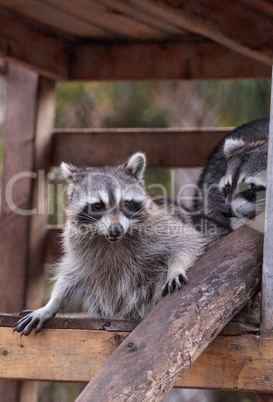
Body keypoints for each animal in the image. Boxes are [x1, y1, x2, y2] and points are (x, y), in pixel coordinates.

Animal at [12, 152, 204, 334]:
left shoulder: (161, 223)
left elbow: (187, 242)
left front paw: (176, 267)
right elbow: (72, 273)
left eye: (126, 203)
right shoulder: (78, 247)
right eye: (98, 206)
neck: (112, 240)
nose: (116, 229)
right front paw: (52, 304)